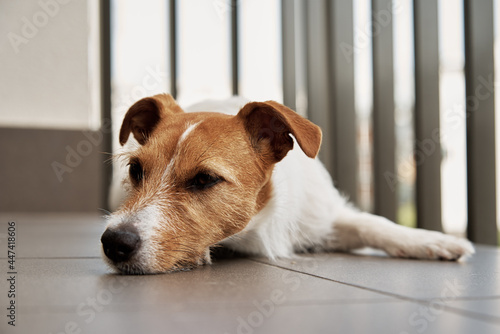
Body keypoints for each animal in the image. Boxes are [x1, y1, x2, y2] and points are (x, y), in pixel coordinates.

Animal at [100, 93, 472, 274]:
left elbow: (374, 224)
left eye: (204, 179)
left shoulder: (323, 218)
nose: (114, 242)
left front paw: (433, 241)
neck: (262, 223)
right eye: (136, 170)